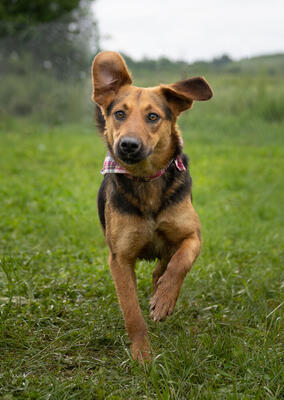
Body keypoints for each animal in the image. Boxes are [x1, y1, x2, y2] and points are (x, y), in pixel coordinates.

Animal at [91, 51, 213, 360]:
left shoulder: (192, 236)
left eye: (153, 116)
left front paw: (164, 299)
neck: (147, 180)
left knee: (166, 262)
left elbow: (180, 262)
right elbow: (132, 312)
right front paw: (143, 356)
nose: (128, 145)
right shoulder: (120, 259)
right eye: (119, 114)